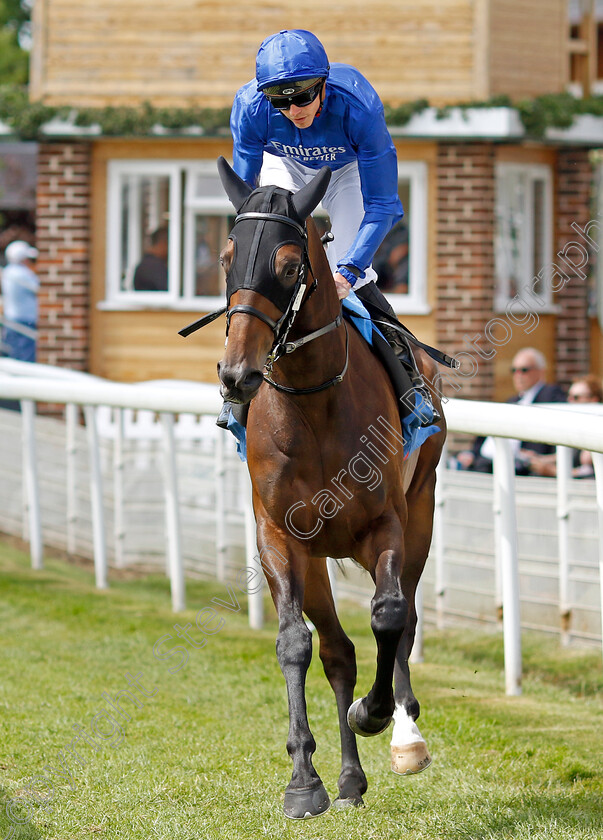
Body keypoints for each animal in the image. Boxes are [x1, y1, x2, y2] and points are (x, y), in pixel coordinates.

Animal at [215, 154, 446, 816]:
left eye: (291, 266)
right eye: (227, 256)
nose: (237, 375)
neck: (313, 407)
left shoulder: (385, 524)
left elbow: (389, 615)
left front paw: (378, 715)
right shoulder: (279, 536)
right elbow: (295, 643)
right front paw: (303, 781)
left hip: (421, 511)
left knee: (403, 615)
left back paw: (402, 731)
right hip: (317, 556)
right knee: (338, 651)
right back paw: (347, 779)